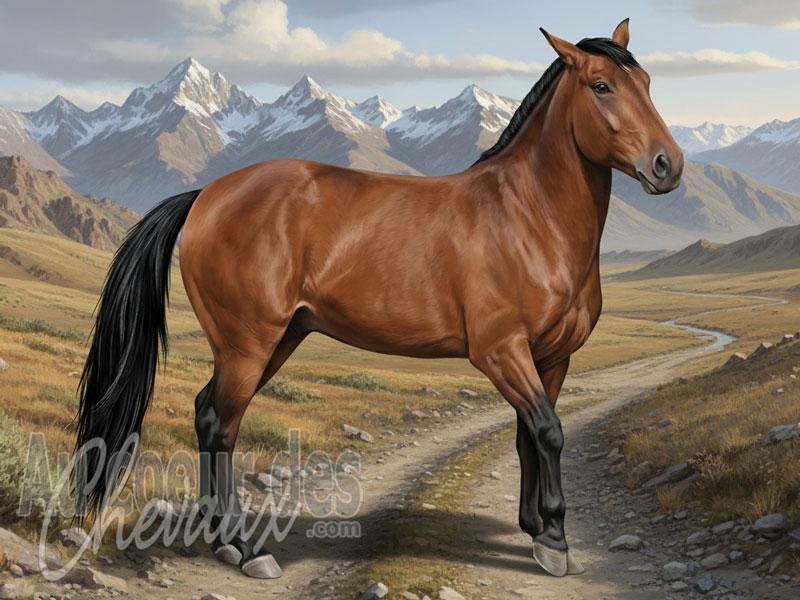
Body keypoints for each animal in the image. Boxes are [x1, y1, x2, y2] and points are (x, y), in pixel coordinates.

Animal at [75, 19, 682, 579]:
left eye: (648, 82)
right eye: (601, 86)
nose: (667, 165)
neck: (528, 215)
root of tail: (208, 194)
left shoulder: (552, 358)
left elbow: (531, 436)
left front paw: (536, 527)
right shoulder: (501, 352)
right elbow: (550, 432)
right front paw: (555, 544)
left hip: (278, 340)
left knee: (207, 412)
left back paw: (221, 537)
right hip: (248, 346)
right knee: (219, 426)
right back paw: (245, 549)